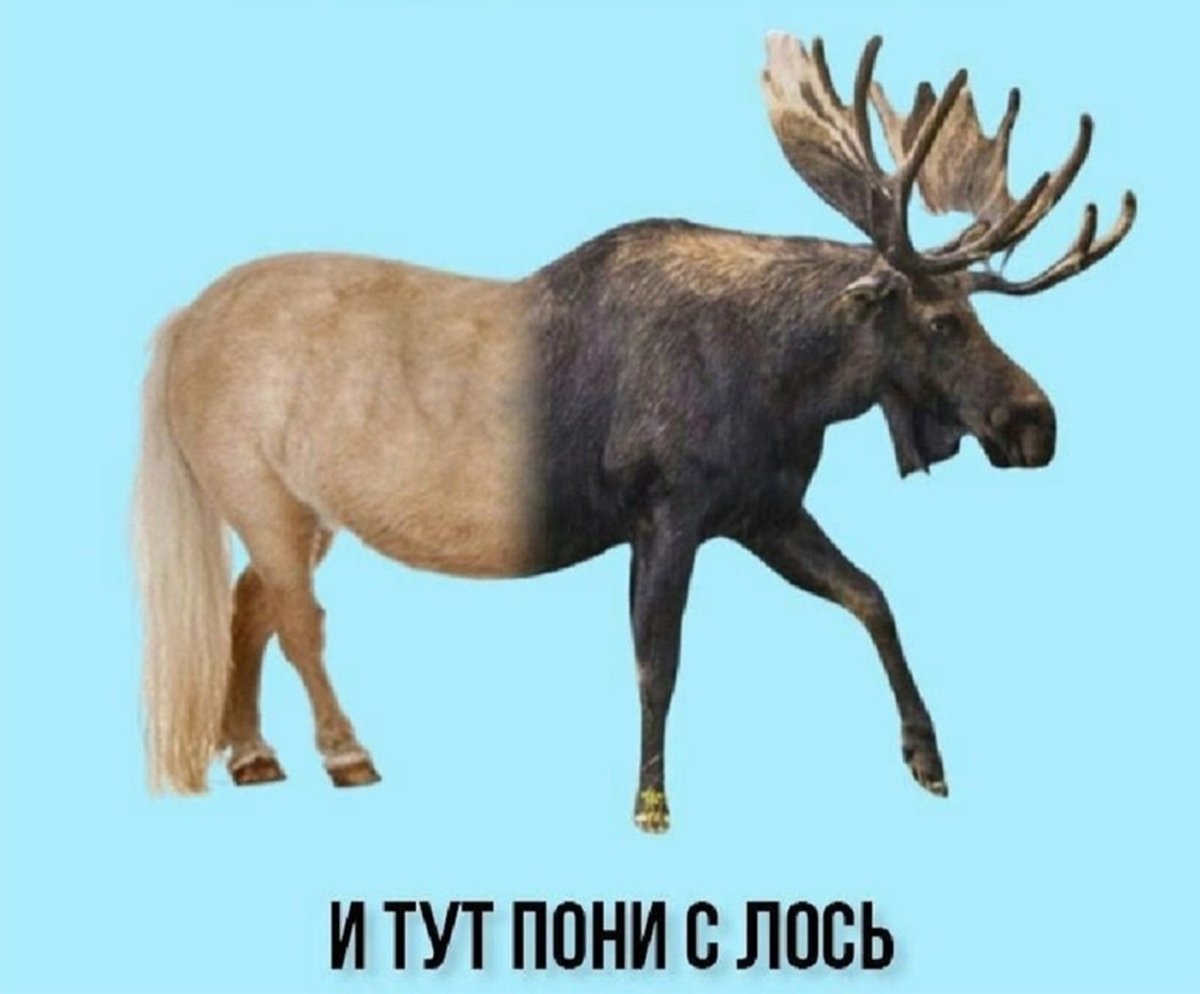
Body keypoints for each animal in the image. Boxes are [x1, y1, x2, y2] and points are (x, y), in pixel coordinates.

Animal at [134, 30, 1135, 831]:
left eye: (975, 311)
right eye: (939, 321)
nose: (1035, 422)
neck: (791, 385)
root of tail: (178, 324)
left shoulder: (765, 511)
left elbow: (873, 598)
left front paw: (928, 760)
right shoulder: (667, 512)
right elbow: (660, 665)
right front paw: (651, 806)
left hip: (304, 509)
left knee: (249, 605)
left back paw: (253, 755)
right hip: (255, 486)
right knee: (297, 617)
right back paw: (344, 755)